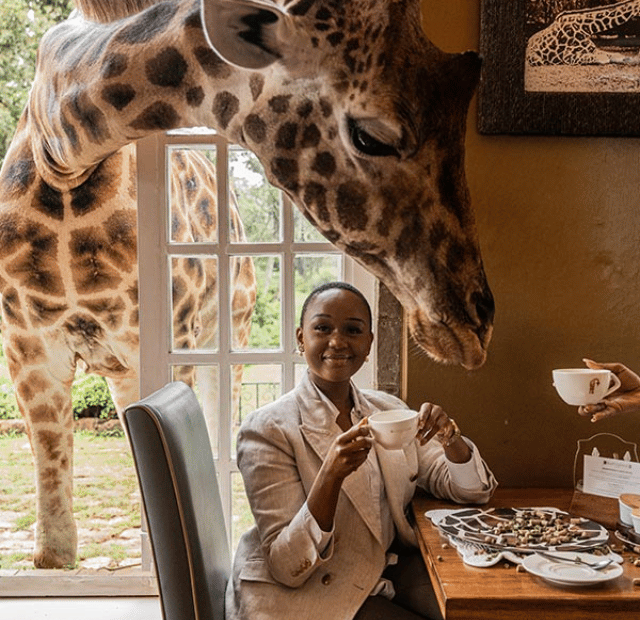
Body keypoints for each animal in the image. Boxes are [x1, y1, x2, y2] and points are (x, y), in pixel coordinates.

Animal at [0, 0, 494, 568]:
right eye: (373, 136)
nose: (476, 326)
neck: (62, 157)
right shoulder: (27, 351)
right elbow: (53, 555)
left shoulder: (166, 337)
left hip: (223, 330)